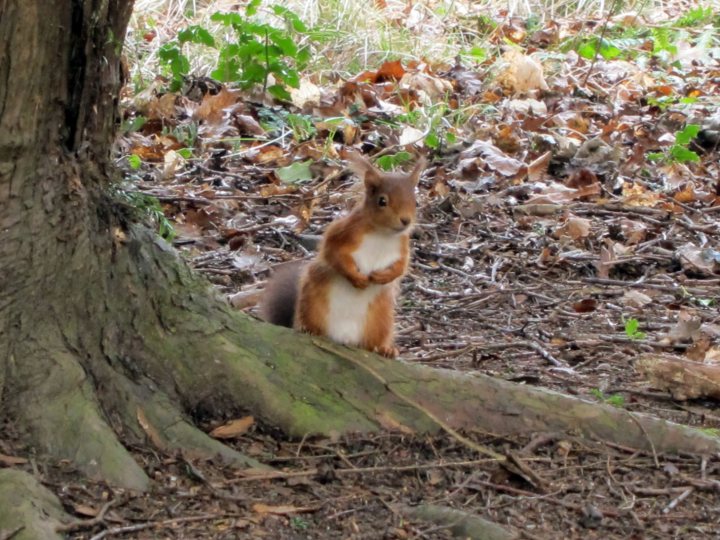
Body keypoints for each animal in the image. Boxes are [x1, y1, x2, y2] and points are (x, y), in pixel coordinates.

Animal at [260, 150, 424, 356]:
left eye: (415, 202)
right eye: (382, 201)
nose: (406, 221)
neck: (382, 234)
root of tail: (344, 338)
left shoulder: (402, 248)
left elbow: (401, 267)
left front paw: (383, 276)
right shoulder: (343, 233)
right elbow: (334, 255)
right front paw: (357, 278)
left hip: (380, 319)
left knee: (371, 343)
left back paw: (384, 349)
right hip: (313, 303)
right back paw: (309, 329)